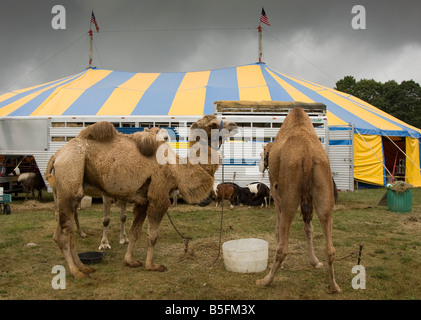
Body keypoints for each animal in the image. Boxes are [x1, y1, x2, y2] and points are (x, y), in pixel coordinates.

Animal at [46, 115, 236, 278]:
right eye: (213, 124)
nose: (234, 125)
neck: (178, 169)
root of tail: (57, 155)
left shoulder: (143, 200)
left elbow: (134, 231)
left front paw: (130, 261)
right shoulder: (159, 196)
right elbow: (152, 235)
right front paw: (152, 266)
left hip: (67, 189)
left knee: (65, 231)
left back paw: (84, 267)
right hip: (71, 175)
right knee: (62, 234)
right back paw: (76, 272)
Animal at [253, 109, 342, 294]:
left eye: (262, 154)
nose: (259, 165)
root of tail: (307, 155)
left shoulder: (275, 189)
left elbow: (278, 229)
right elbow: (309, 229)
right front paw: (314, 262)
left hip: (290, 188)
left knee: (283, 246)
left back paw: (265, 280)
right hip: (323, 181)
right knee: (329, 244)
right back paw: (334, 286)